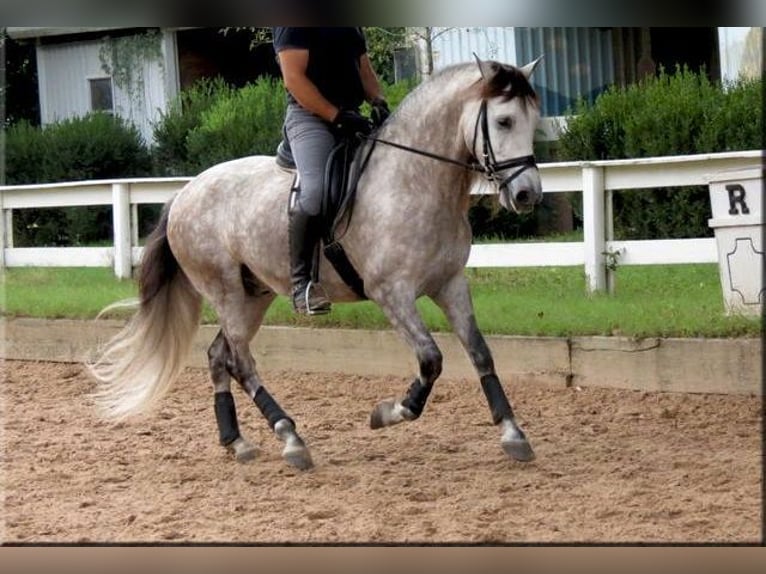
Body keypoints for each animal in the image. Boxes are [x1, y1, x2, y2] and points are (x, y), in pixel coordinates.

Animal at [88, 57, 544, 472]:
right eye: (503, 121)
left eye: (533, 121)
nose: (527, 195)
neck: (415, 180)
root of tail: (184, 193)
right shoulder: (391, 293)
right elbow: (431, 360)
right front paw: (386, 413)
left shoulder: (450, 284)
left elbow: (480, 353)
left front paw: (513, 434)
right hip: (225, 290)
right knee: (240, 362)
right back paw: (290, 438)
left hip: (253, 295)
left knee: (219, 355)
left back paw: (236, 441)